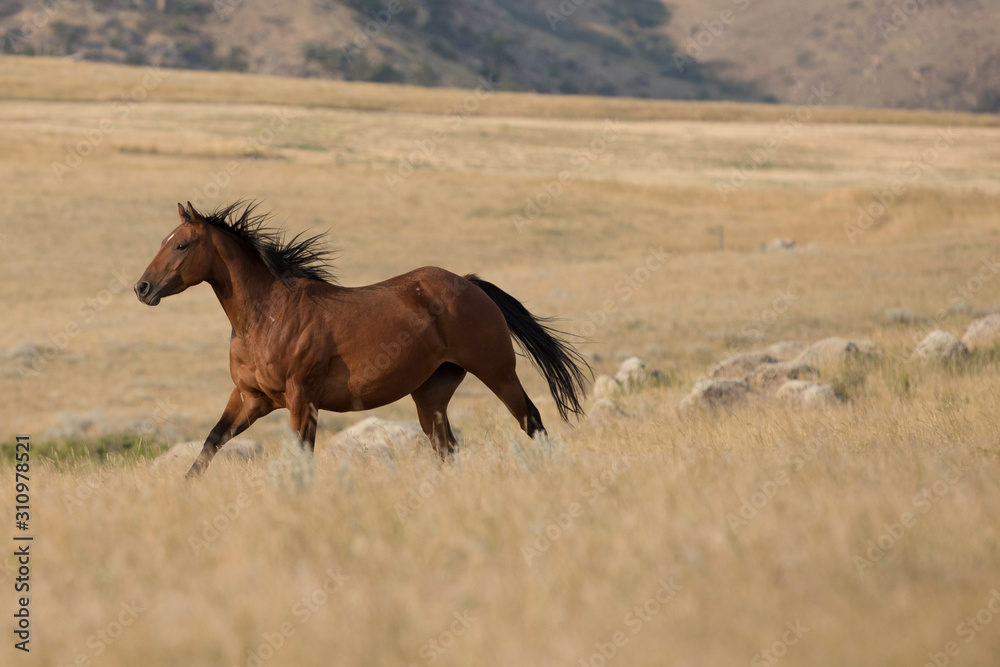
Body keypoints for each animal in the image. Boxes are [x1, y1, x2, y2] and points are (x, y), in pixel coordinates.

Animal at [134, 202, 590, 478]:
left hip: (498, 372)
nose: (142, 288)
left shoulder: (301, 398)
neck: (266, 316)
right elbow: (211, 443)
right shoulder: (250, 397)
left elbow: (303, 455)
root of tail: (471, 284)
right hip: (431, 393)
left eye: (181, 244)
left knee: (532, 421)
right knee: (446, 447)